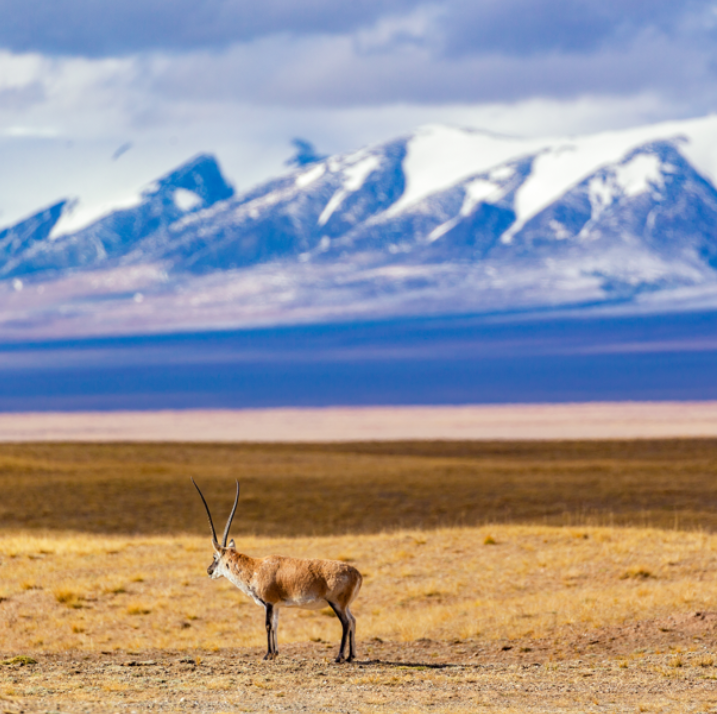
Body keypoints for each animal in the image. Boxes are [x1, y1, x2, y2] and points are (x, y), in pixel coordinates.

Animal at [193, 478, 360, 660]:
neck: (254, 568)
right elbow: (275, 625)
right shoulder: (277, 606)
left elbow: (267, 625)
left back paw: (339, 657)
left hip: (336, 603)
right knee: (353, 620)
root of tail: (356, 574)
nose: (209, 571)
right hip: (345, 605)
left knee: (346, 623)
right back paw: (351, 656)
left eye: (215, 557)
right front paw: (276, 653)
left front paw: (267, 654)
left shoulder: (269, 603)